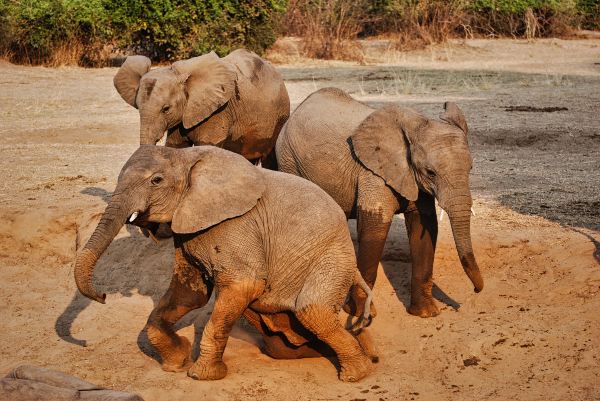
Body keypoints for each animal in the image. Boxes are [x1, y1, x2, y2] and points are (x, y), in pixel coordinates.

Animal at [74, 145, 376, 382]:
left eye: (156, 180)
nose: (103, 296)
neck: (185, 156)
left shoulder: (239, 225)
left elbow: (244, 286)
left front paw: (201, 375)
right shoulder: (188, 230)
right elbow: (189, 294)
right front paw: (177, 362)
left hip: (333, 258)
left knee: (313, 312)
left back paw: (357, 372)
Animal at [276, 88, 482, 318]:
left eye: (471, 168)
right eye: (431, 172)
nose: (476, 291)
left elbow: (424, 226)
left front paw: (426, 313)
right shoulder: (372, 173)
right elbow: (375, 228)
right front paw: (360, 313)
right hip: (288, 159)